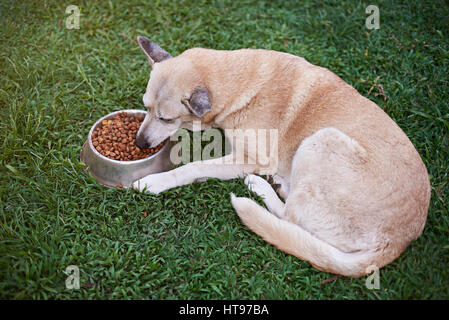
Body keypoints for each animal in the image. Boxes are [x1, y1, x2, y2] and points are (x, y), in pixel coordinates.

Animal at [132, 36, 430, 278]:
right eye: (146, 107)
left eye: (166, 118)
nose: (139, 143)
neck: (239, 83)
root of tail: (398, 241)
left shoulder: (251, 158)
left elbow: (191, 167)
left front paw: (154, 182)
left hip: (321, 140)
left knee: (289, 218)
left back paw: (260, 186)